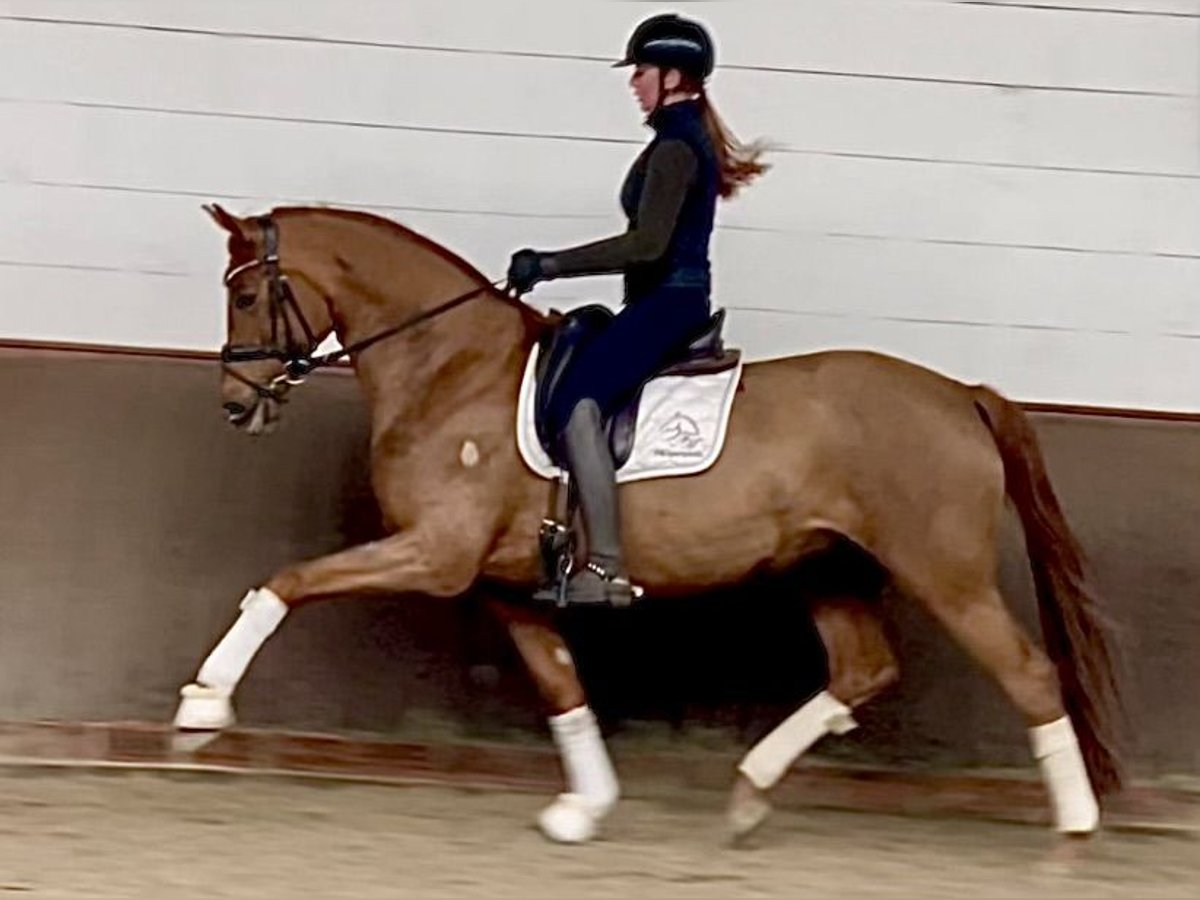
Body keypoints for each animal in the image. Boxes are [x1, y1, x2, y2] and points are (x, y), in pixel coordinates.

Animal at [175, 203, 1121, 846]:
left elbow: (290, 581)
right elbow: (562, 687)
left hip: (943, 571)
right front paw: (583, 807)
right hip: (824, 565)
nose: (235, 404)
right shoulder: (501, 582)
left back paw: (1075, 828)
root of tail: (961, 393)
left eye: (249, 293)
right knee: (864, 667)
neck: (450, 368)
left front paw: (204, 703)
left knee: (1028, 673)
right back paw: (747, 793)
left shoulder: (438, 555)